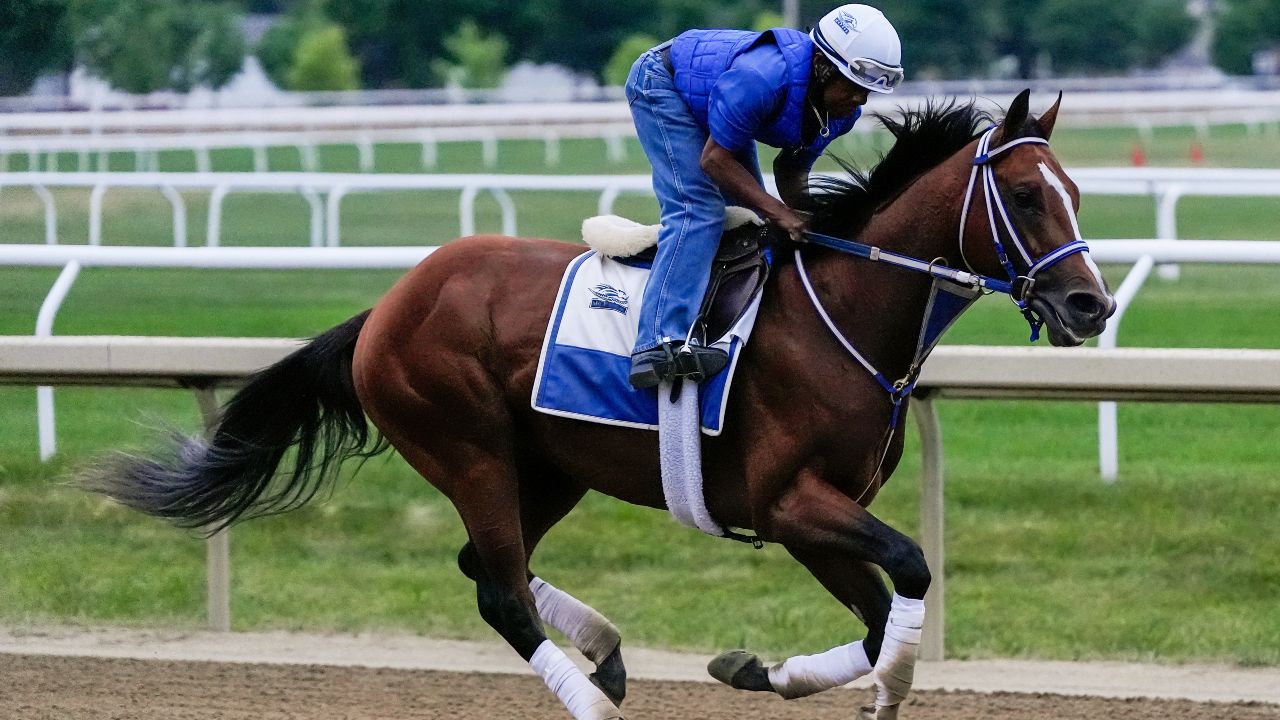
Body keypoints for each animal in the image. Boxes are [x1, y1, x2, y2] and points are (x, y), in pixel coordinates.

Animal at [87, 90, 1111, 717]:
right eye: (1026, 195)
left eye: (1074, 191)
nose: (1090, 305)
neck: (844, 310)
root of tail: (388, 305)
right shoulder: (789, 502)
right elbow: (911, 569)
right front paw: (882, 692)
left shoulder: (814, 519)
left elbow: (875, 615)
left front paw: (759, 668)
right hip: (465, 445)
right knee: (501, 591)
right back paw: (588, 696)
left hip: (546, 466)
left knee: (481, 564)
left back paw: (609, 654)